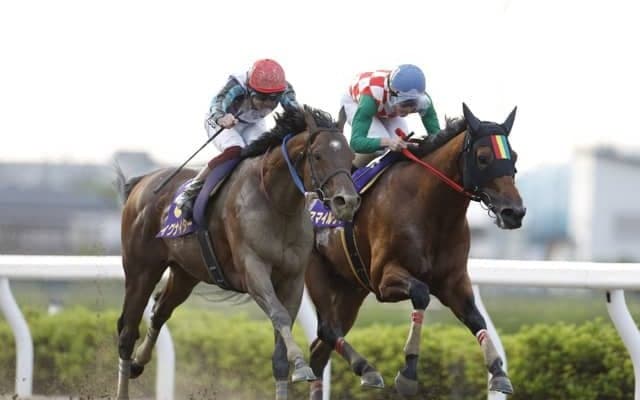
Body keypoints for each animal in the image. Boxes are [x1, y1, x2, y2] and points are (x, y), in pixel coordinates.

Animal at [114, 106, 360, 400]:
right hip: (141, 269)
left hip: (185, 273)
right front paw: (301, 365)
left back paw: (139, 362)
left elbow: (280, 350)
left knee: (159, 312)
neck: (276, 203)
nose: (347, 202)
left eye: (350, 156)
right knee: (127, 331)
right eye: (318, 155)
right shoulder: (253, 271)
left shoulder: (292, 279)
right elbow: (279, 315)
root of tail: (142, 183)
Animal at [305, 103, 525, 398]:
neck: (430, 209)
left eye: (514, 156)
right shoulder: (384, 279)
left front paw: (499, 372)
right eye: (482, 157)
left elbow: (476, 318)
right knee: (327, 329)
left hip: (351, 290)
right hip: (316, 273)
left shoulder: (453, 281)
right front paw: (408, 372)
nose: (515, 212)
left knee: (319, 350)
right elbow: (421, 293)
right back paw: (368, 369)